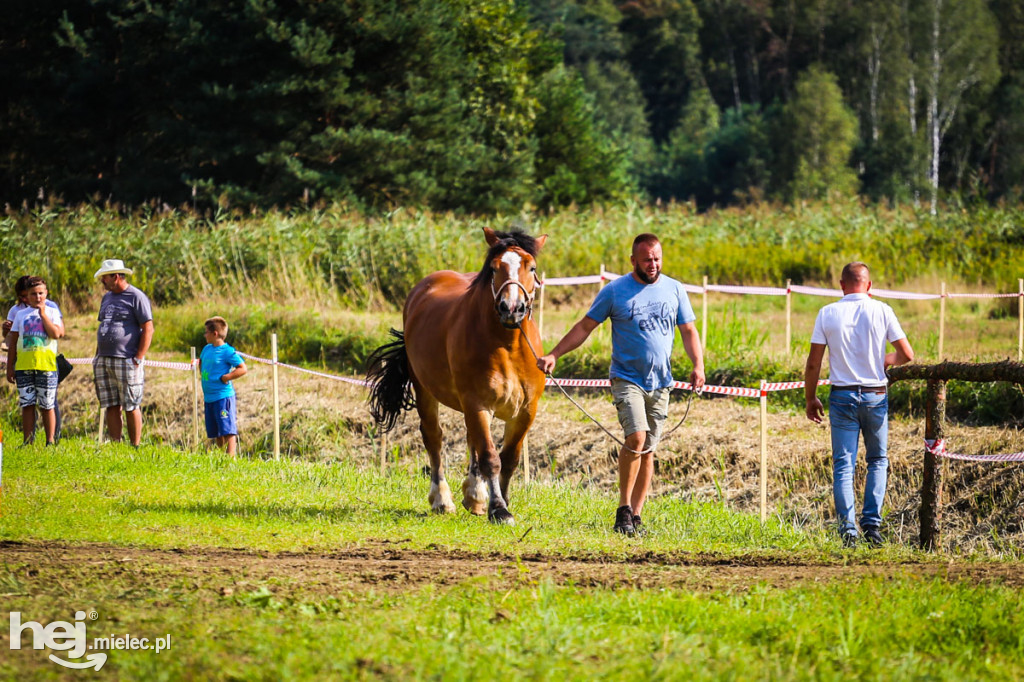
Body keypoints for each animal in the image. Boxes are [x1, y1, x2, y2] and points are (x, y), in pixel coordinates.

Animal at [366, 227, 544, 520]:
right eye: (494, 268)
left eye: (532, 267)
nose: (511, 308)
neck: (508, 347)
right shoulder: (477, 403)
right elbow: (490, 457)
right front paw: (499, 509)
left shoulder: (526, 411)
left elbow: (509, 459)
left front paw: (500, 500)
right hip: (425, 390)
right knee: (434, 438)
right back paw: (442, 499)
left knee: (471, 440)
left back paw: (475, 496)